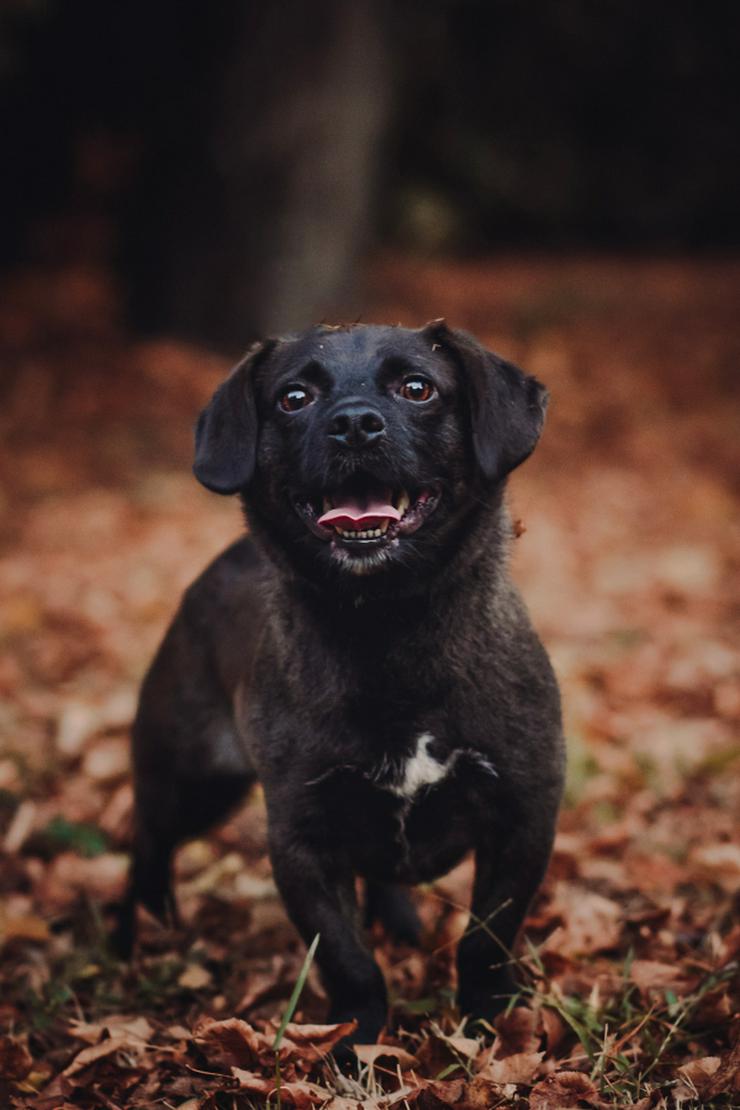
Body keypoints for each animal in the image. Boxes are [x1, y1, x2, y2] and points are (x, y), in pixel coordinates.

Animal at [118, 319, 563, 1038]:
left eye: (418, 387)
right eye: (294, 398)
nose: (354, 423)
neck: (388, 627)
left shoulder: (522, 815)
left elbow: (484, 941)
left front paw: (488, 1020)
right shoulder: (303, 840)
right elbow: (349, 960)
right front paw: (355, 1040)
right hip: (187, 782)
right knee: (146, 849)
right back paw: (134, 940)